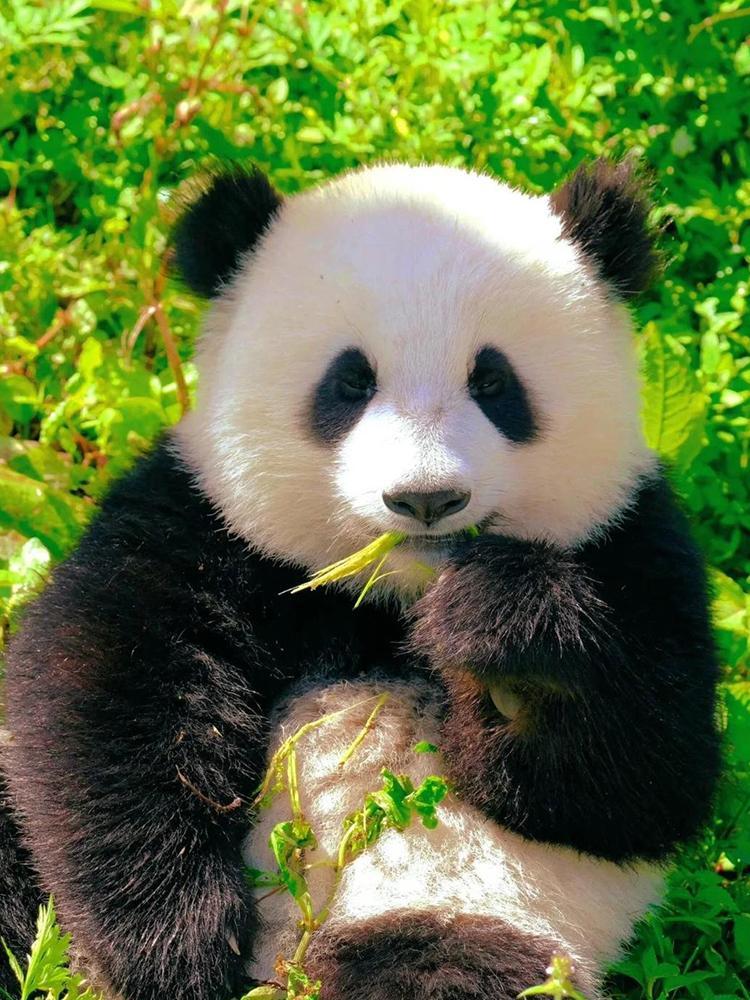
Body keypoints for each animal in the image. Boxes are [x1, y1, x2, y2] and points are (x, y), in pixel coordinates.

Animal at [0, 159, 720, 1000]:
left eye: (494, 382)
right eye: (350, 382)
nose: (426, 498)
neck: (385, 598)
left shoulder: (634, 544)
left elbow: (643, 783)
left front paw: (501, 635)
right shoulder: (200, 524)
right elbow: (102, 703)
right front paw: (172, 947)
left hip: (460, 911)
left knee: (449, 967)